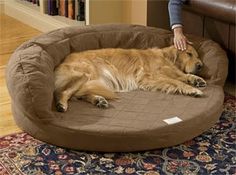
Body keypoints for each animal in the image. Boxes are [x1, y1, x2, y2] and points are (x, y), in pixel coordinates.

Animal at [54, 45, 206, 112]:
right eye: (189, 54)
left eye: (197, 56)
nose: (200, 65)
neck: (166, 58)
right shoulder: (150, 77)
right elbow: (176, 81)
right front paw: (193, 90)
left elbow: (182, 76)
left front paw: (196, 80)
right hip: (85, 74)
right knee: (63, 91)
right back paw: (61, 104)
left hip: (95, 81)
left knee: (81, 94)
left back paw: (99, 100)